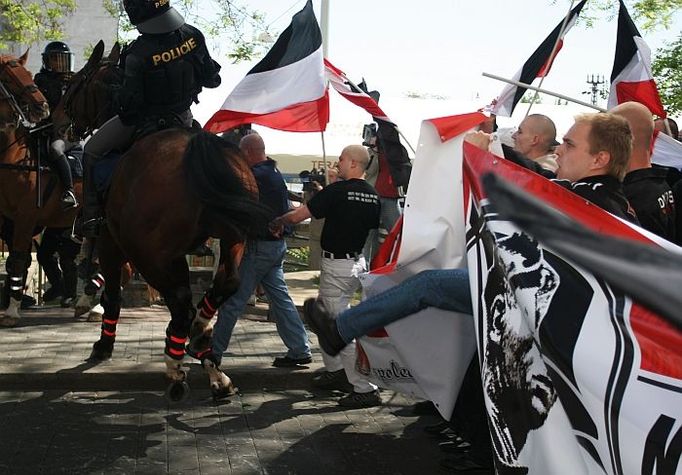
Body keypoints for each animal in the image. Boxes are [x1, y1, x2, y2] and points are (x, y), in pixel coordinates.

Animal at [59, 41, 270, 400]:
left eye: (75, 84)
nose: (62, 120)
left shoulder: (111, 243)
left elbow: (112, 294)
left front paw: (103, 344)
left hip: (152, 256)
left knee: (181, 304)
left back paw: (178, 366)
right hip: (230, 240)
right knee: (222, 286)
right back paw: (206, 353)